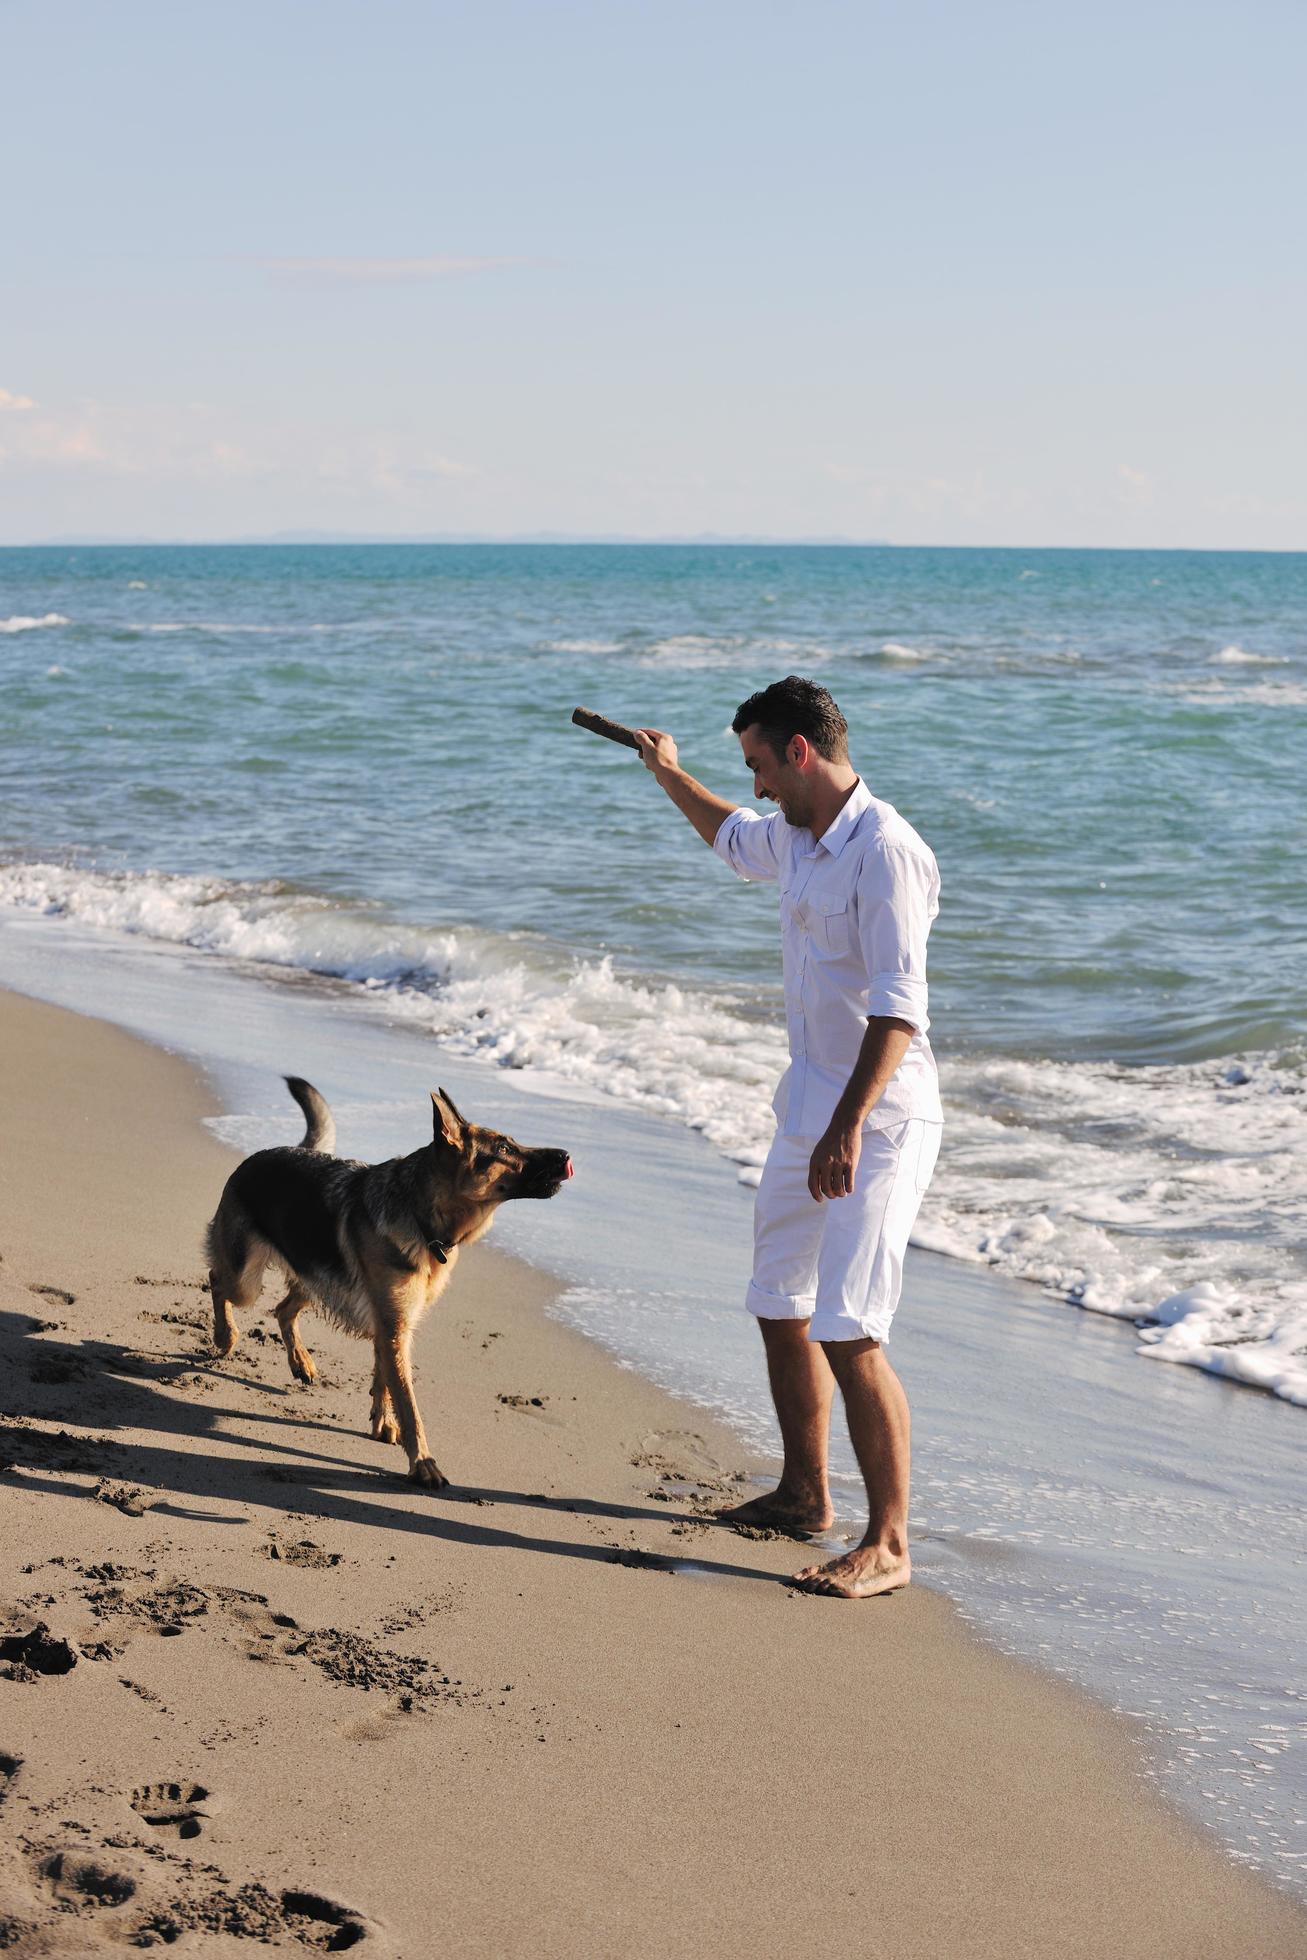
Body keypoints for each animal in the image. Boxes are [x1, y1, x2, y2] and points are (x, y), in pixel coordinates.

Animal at [205, 1074, 572, 1481]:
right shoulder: (394, 1327)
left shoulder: (392, 1325)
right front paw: (423, 1462)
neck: (422, 1215)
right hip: (247, 1281)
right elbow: (410, 1405)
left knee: (283, 1309)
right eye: (505, 1148)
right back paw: (225, 1336)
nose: (566, 1156)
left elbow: (384, 1377)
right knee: (217, 1280)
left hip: (317, 1281)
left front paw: (383, 1422)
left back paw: (301, 1361)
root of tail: (265, 1154)